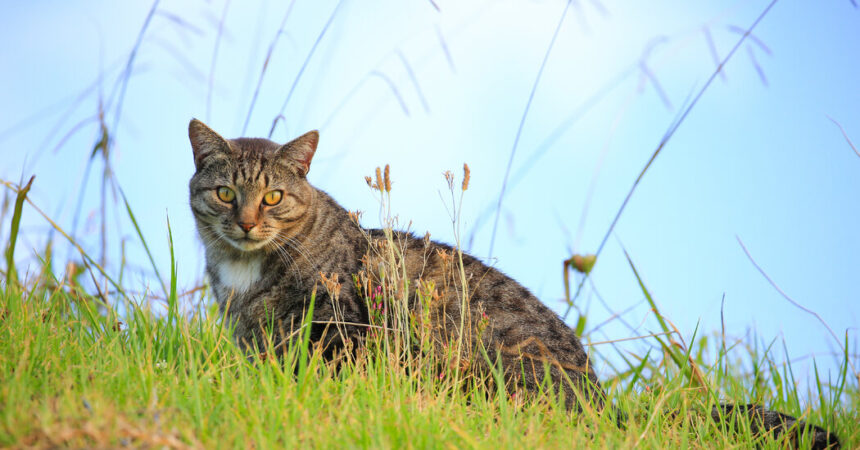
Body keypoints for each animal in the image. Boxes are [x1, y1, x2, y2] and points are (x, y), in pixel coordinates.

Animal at [186, 119, 840, 450]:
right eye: (226, 192)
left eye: (274, 196)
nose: (247, 222)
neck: (245, 271)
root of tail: (603, 404)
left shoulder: (339, 328)